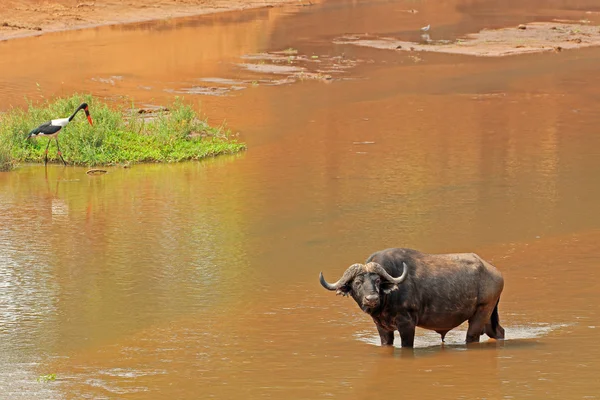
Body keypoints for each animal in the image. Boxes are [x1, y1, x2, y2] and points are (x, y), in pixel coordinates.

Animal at [318, 247, 506, 346]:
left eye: (377, 280)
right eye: (357, 282)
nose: (371, 299)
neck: (387, 301)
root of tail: (495, 272)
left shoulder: (407, 324)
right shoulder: (382, 328)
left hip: (481, 313)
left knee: (472, 337)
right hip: (487, 316)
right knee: (499, 331)